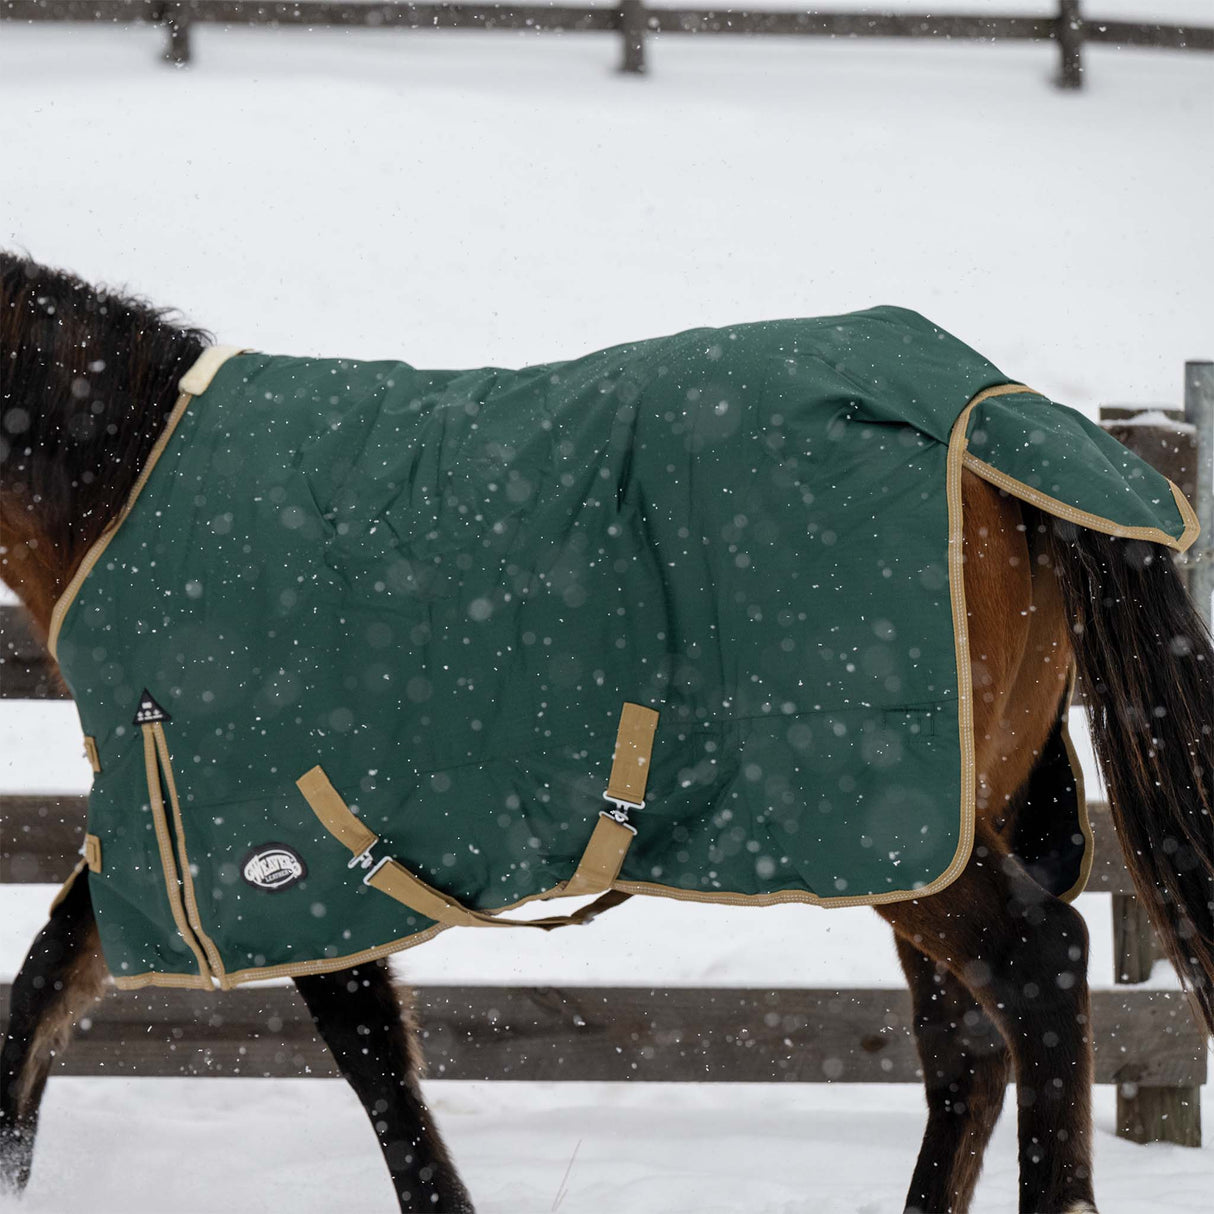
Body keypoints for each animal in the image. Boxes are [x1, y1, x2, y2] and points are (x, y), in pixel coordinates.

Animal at [0, 250, 1210, 1214]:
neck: (126, 493)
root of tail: (990, 422)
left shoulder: (270, 849)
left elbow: (370, 1058)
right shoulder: (192, 847)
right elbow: (44, 985)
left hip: (894, 824)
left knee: (1039, 971)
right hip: (941, 827)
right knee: (963, 1049)